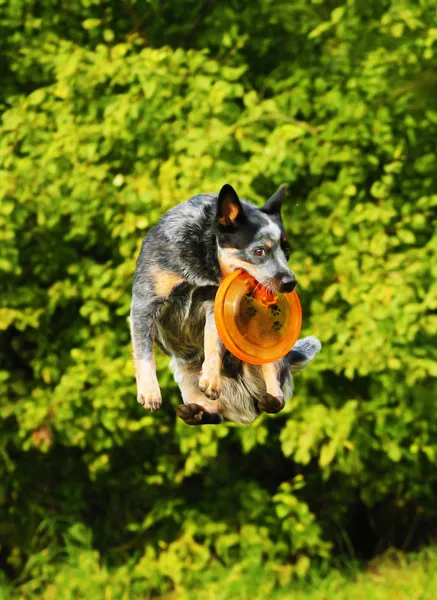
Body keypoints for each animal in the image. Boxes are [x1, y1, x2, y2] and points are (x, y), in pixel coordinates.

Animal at [129, 185, 320, 424]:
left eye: (287, 252)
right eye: (259, 251)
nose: (290, 282)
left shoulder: (214, 306)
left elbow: (213, 344)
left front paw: (211, 379)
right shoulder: (145, 303)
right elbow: (144, 353)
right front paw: (150, 393)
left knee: (276, 396)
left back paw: (270, 400)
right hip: (182, 370)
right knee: (215, 416)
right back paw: (194, 413)